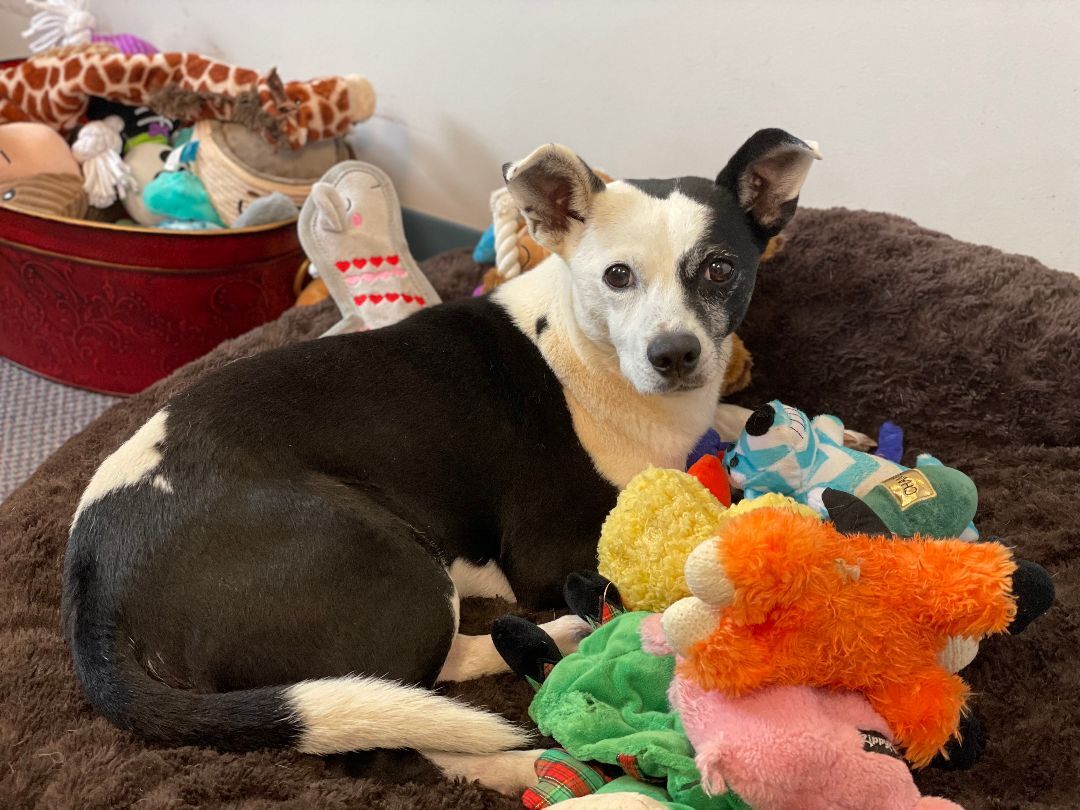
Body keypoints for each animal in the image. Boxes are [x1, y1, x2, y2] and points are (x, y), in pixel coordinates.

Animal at [63, 128, 816, 794]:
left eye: (719, 269)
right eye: (617, 276)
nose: (675, 355)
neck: (582, 347)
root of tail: (94, 585)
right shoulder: (551, 549)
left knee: (408, 684)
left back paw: (562, 636)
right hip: (394, 564)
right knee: (385, 737)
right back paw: (517, 762)